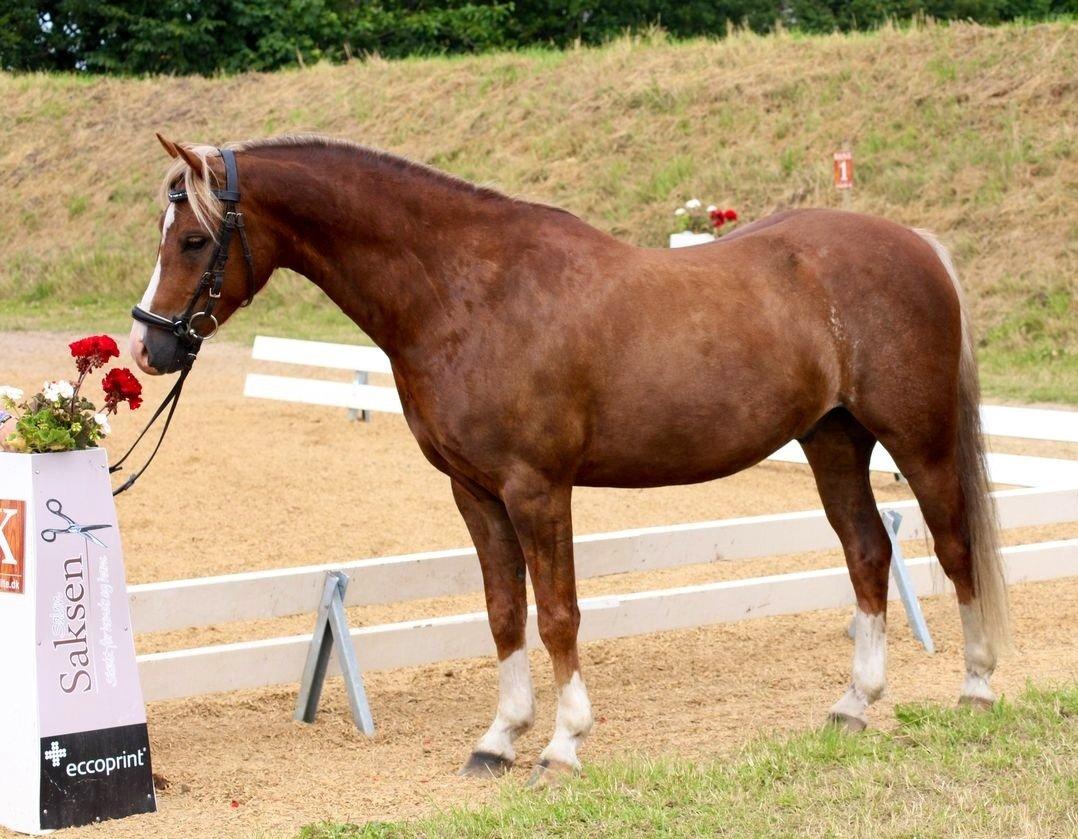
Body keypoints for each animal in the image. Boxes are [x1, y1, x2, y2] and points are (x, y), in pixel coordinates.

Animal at [131, 134, 1009, 784]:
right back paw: (853, 704)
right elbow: (503, 611)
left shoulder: (537, 488)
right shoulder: (475, 491)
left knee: (953, 545)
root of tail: (915, 244)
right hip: (833, 439)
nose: (148, 347)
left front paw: (561, 744)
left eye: (196, 238)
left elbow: (557, 613)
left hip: (920, 441)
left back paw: (976, 687)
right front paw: (497, 739)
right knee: (867, 551)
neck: (466, 292)